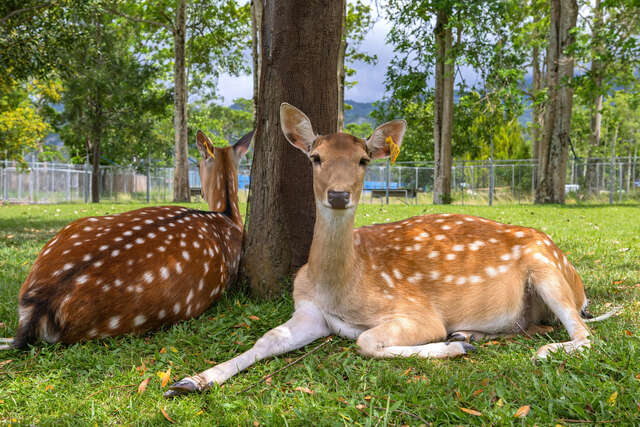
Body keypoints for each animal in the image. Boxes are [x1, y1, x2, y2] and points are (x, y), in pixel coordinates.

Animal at [164, 104, 618, 397]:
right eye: (315, 157)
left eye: (364, 159)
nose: (339, 194)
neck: (343, 287)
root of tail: (581, 286)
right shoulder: (310, 312)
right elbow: (267, 339)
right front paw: (190, 381)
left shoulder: (417, 311)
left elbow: (366, 342)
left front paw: (450, 347)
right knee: (539, 325)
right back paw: (471, 332)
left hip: (547, 269)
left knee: (584, 333)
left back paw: (531, 350)